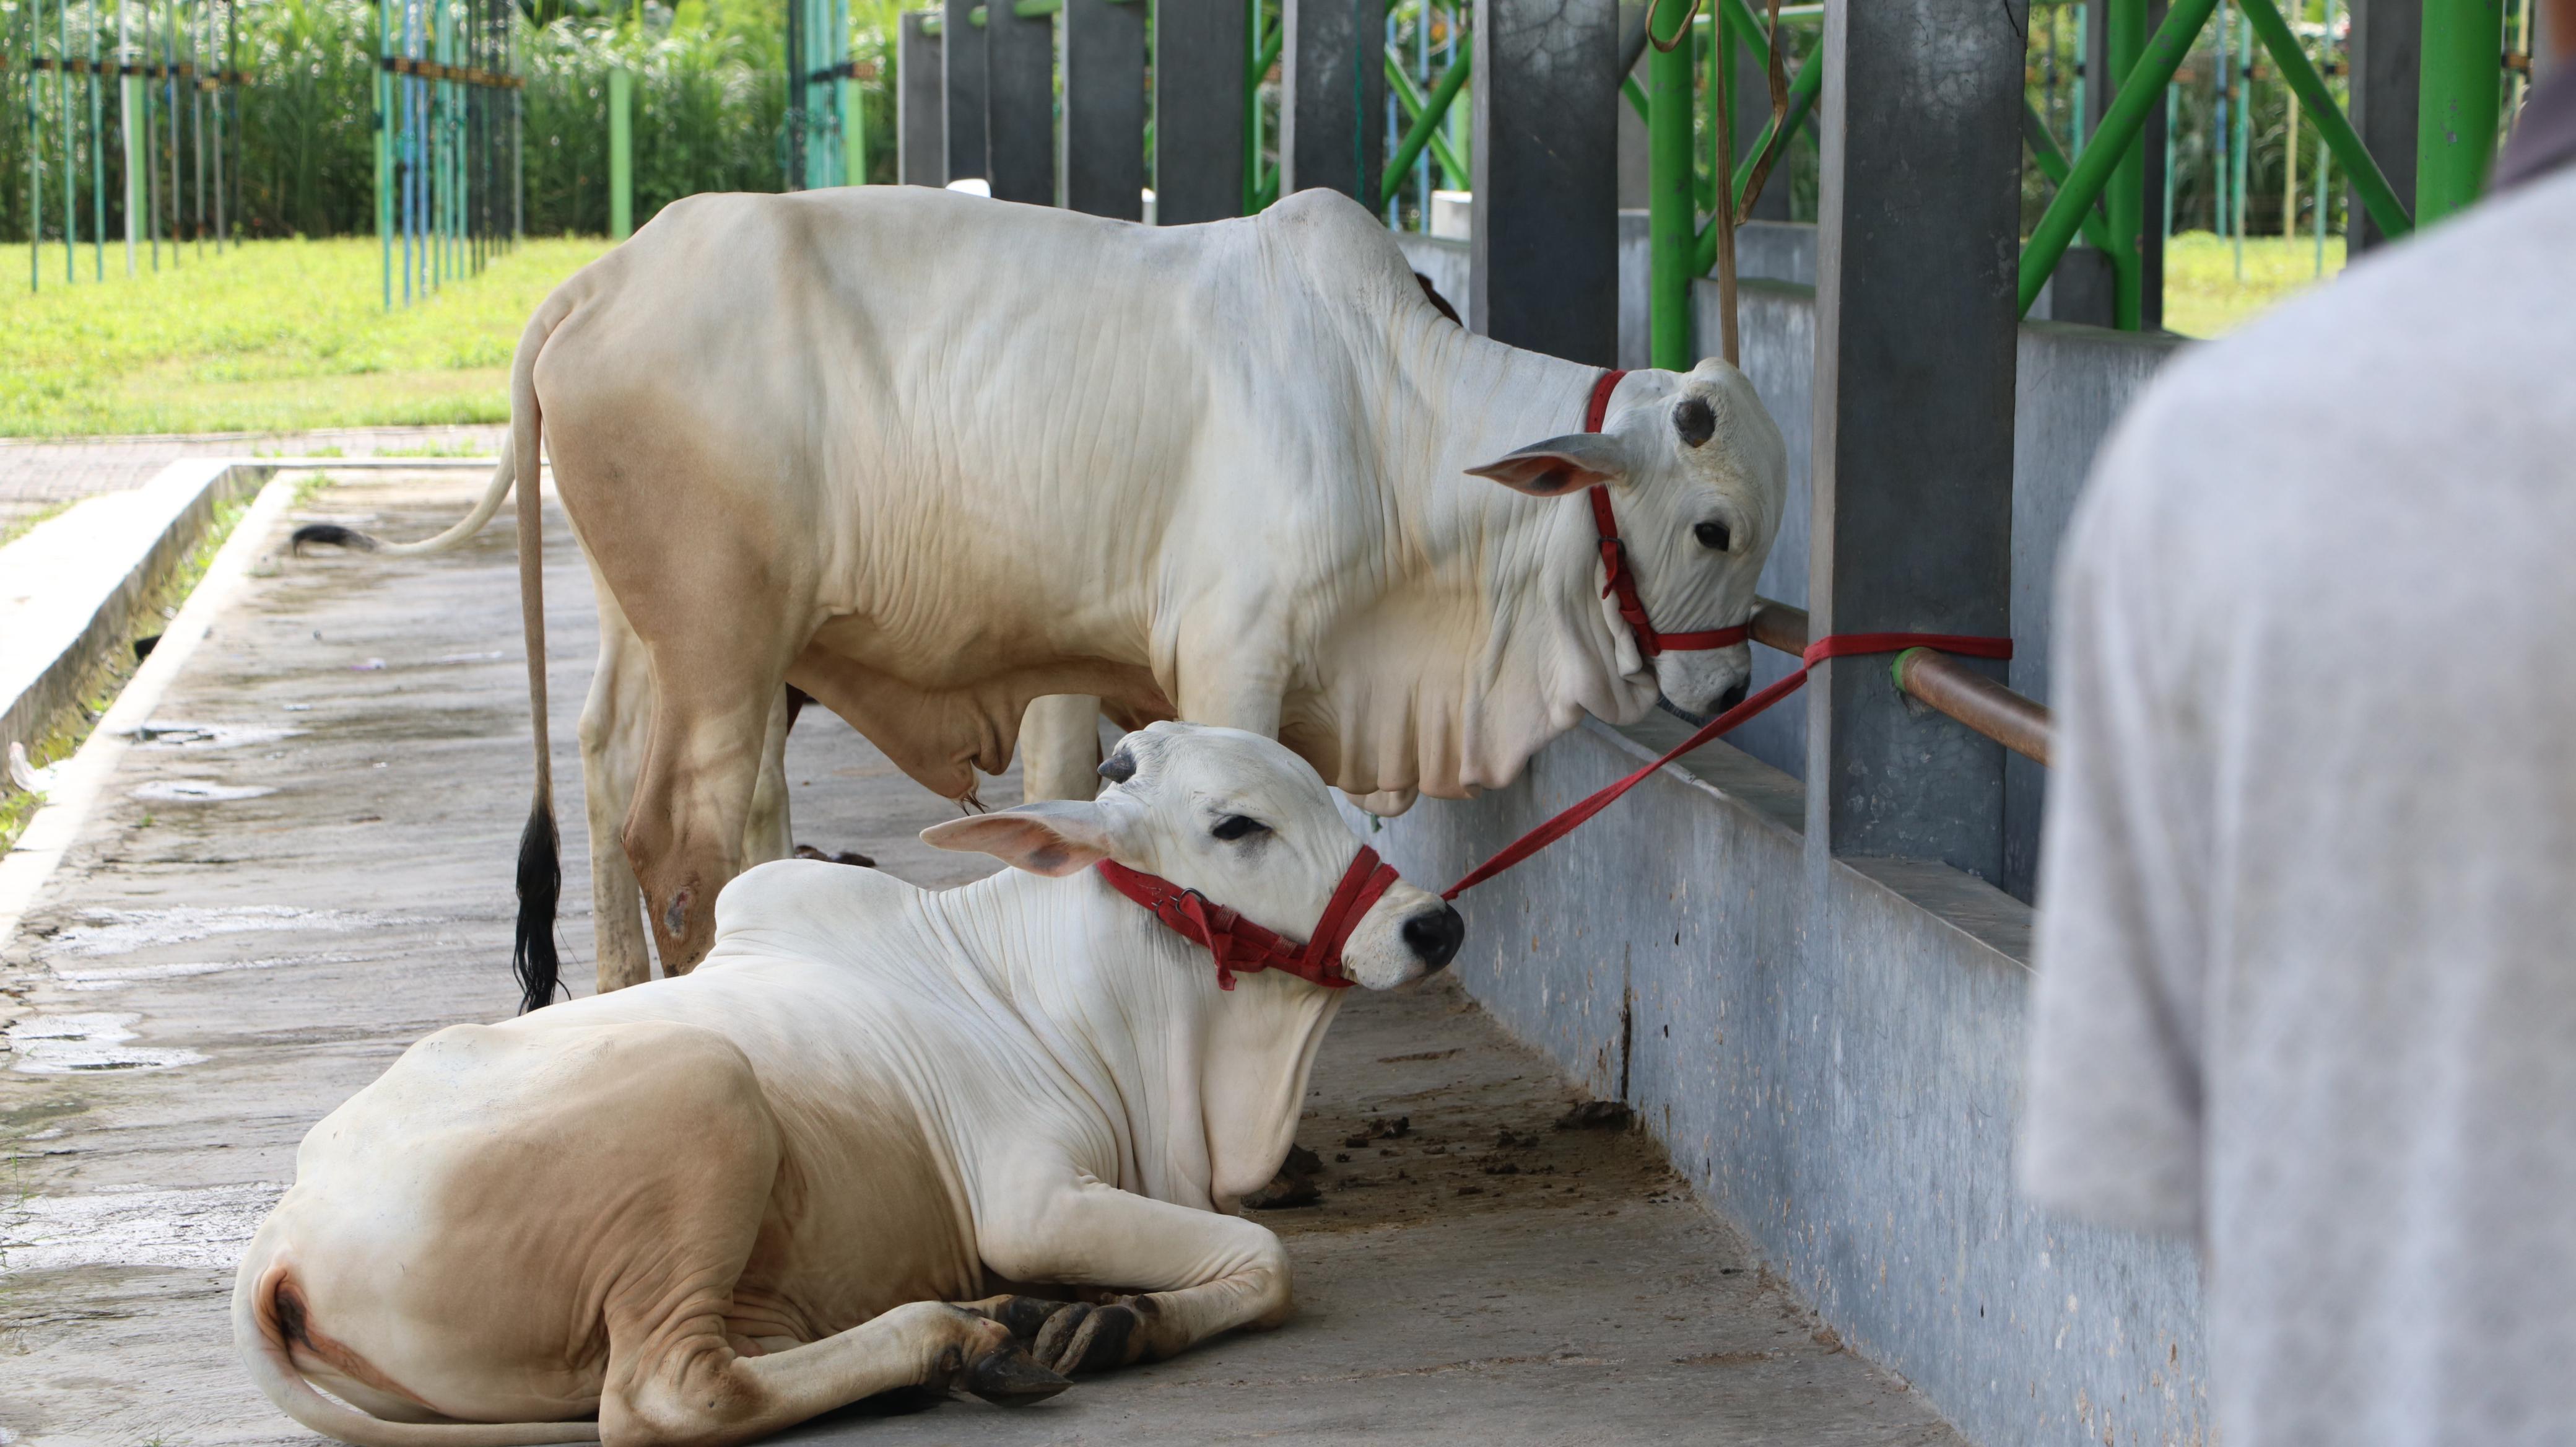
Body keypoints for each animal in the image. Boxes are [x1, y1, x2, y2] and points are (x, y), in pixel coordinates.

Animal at [227, 720, 1473, 1441]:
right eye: (1238, 825)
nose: (1436, 924)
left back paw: (986, 1329)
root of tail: (281, 1240)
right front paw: (1117, 1321)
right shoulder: (1031, 1202)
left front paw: (1088, 1312)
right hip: (707, 1092)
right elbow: (1267, 1259)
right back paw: (952, 1342)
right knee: (669, 1395)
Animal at [337, 180, 1793, 999]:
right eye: (1714, 527)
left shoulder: (1085, 668)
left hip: (661, 640)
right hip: (724, 646)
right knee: (683, 844)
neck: (1390, 417)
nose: (1728, 683)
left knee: (607, 776)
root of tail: (597, 281)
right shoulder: (1231, 660)